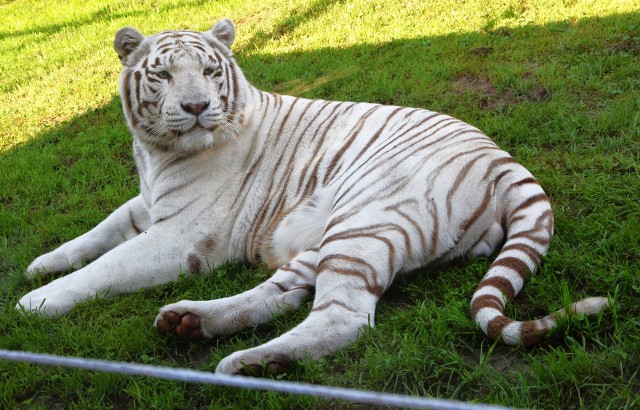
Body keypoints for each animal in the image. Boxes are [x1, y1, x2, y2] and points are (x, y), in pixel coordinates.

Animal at [17, 18, 608, 374]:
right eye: (161, 75)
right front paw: (42, 264)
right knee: (285, 292)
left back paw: (247, 364)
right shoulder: (147, 202)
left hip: (365, 219)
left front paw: (36, 302)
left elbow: (109, 264)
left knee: (342, 318)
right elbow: (100, 231)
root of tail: (504, 160)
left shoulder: (181, 234)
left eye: (208, 71)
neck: (157, 153)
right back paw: (193, 323)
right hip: (334, 232)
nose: (195, 106)